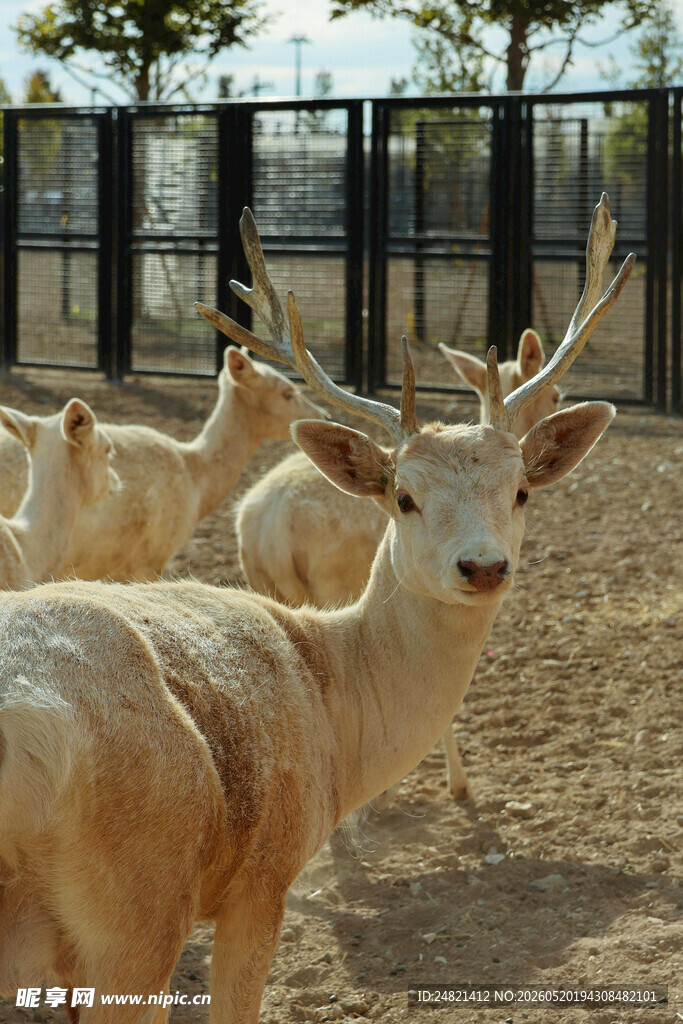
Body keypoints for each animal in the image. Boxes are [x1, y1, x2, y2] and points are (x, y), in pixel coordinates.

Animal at [235, 329, 560, 800]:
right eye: (403, 499)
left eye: (522, 492)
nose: (485, 567)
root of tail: (271, 525)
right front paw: (458, 784)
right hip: (333, 582)